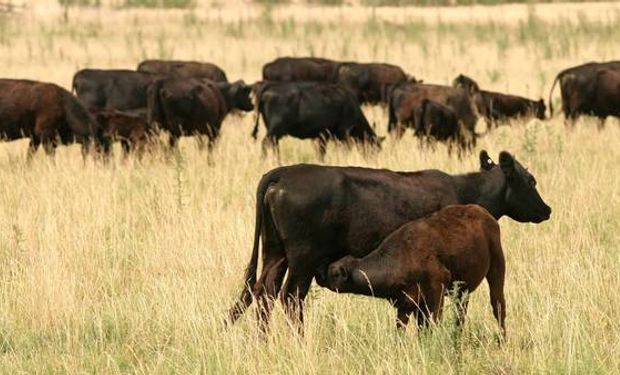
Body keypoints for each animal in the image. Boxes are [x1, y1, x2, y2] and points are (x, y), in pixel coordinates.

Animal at [326, 204, 506, 340]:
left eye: (335, 274)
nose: (322, 278)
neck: (402, 256)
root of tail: (484, 214)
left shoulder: (435, 293)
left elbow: (431, 323)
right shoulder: (406, 304)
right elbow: (405, 328)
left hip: (497, 270)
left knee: (498, 306)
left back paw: (501, 339)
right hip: (462, 291)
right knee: (460, 315)